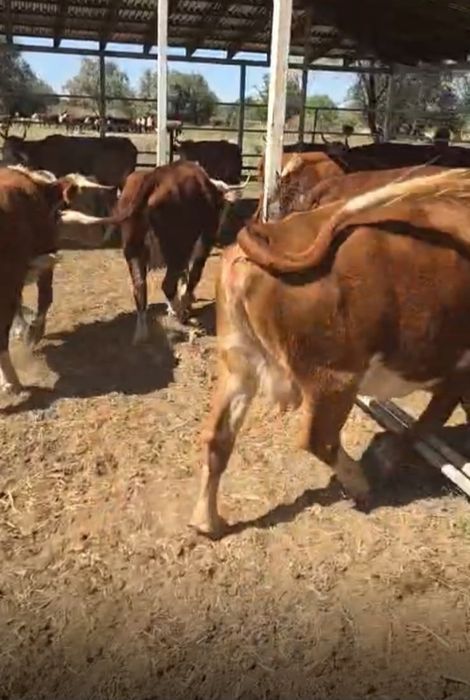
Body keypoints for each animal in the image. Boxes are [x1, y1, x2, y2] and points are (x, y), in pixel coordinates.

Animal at [60, 161, 249, 344]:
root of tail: (154, 177)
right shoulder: (203, 244)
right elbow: (193, 275)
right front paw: (185, 302)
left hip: (134, 249)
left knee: (139, 287)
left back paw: (142, 333)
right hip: (176, 249)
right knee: (167, 284)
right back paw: (180, 313)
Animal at [189, 168, 470, 537]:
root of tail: (267, 236)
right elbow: (428, 421)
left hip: (239, 363)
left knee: (217, 436)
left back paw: (206, 521)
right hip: (335, 377)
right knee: (317, 439)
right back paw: (361, 483)